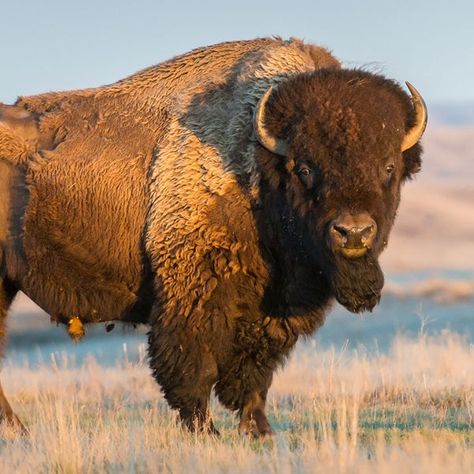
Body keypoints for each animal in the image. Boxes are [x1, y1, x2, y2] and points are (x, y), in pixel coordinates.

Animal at [0, 38, 428, 436]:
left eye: (388, 167)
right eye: (304, 168)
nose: (353, 232)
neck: (257, 166)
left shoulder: (271, 311)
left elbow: (254, 374)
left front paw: (259, 430)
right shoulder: (193, 293)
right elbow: (195, 367)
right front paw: (205, 430)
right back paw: (18, 429)